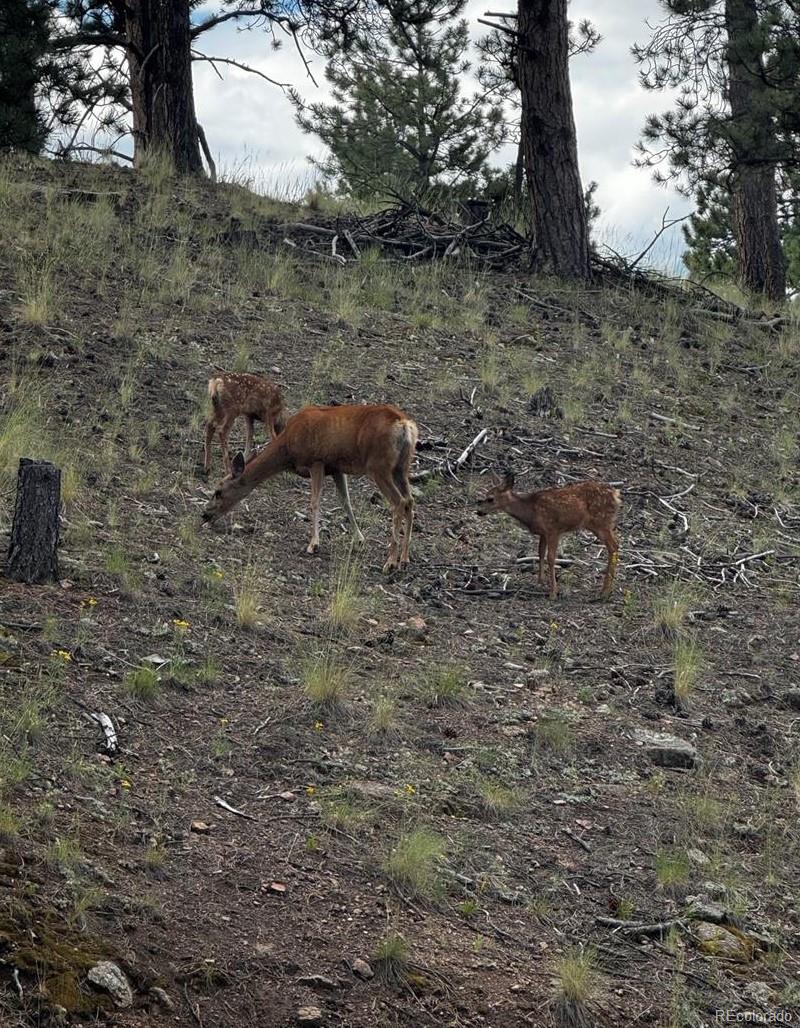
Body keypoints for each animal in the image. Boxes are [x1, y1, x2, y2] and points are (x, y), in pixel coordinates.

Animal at [201, 400, 417, 571]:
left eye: (218, 492)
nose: (204, 514)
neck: (288, 448)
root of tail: (405, 424)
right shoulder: (336, 468)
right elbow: (345, 501)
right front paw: (359, 539)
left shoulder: (316, 461)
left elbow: (314, 502)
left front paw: (313, 544)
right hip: (401, 467)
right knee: (410, 500)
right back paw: (405, 559)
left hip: (379, 466)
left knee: (398, 502)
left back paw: (391, 562)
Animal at [477, 470, 621, 600]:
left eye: (490, 499)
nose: (479, 511)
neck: (530, 511)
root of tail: (615, 495)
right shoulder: (543, 533)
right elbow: (540, 553)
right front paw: (540, 582)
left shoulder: (553, 529)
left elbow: (551, 558)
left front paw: (553, 592)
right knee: (614, 546)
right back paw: (607, 590)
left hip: (601, 522)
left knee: (613, 546)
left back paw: (604, 592)